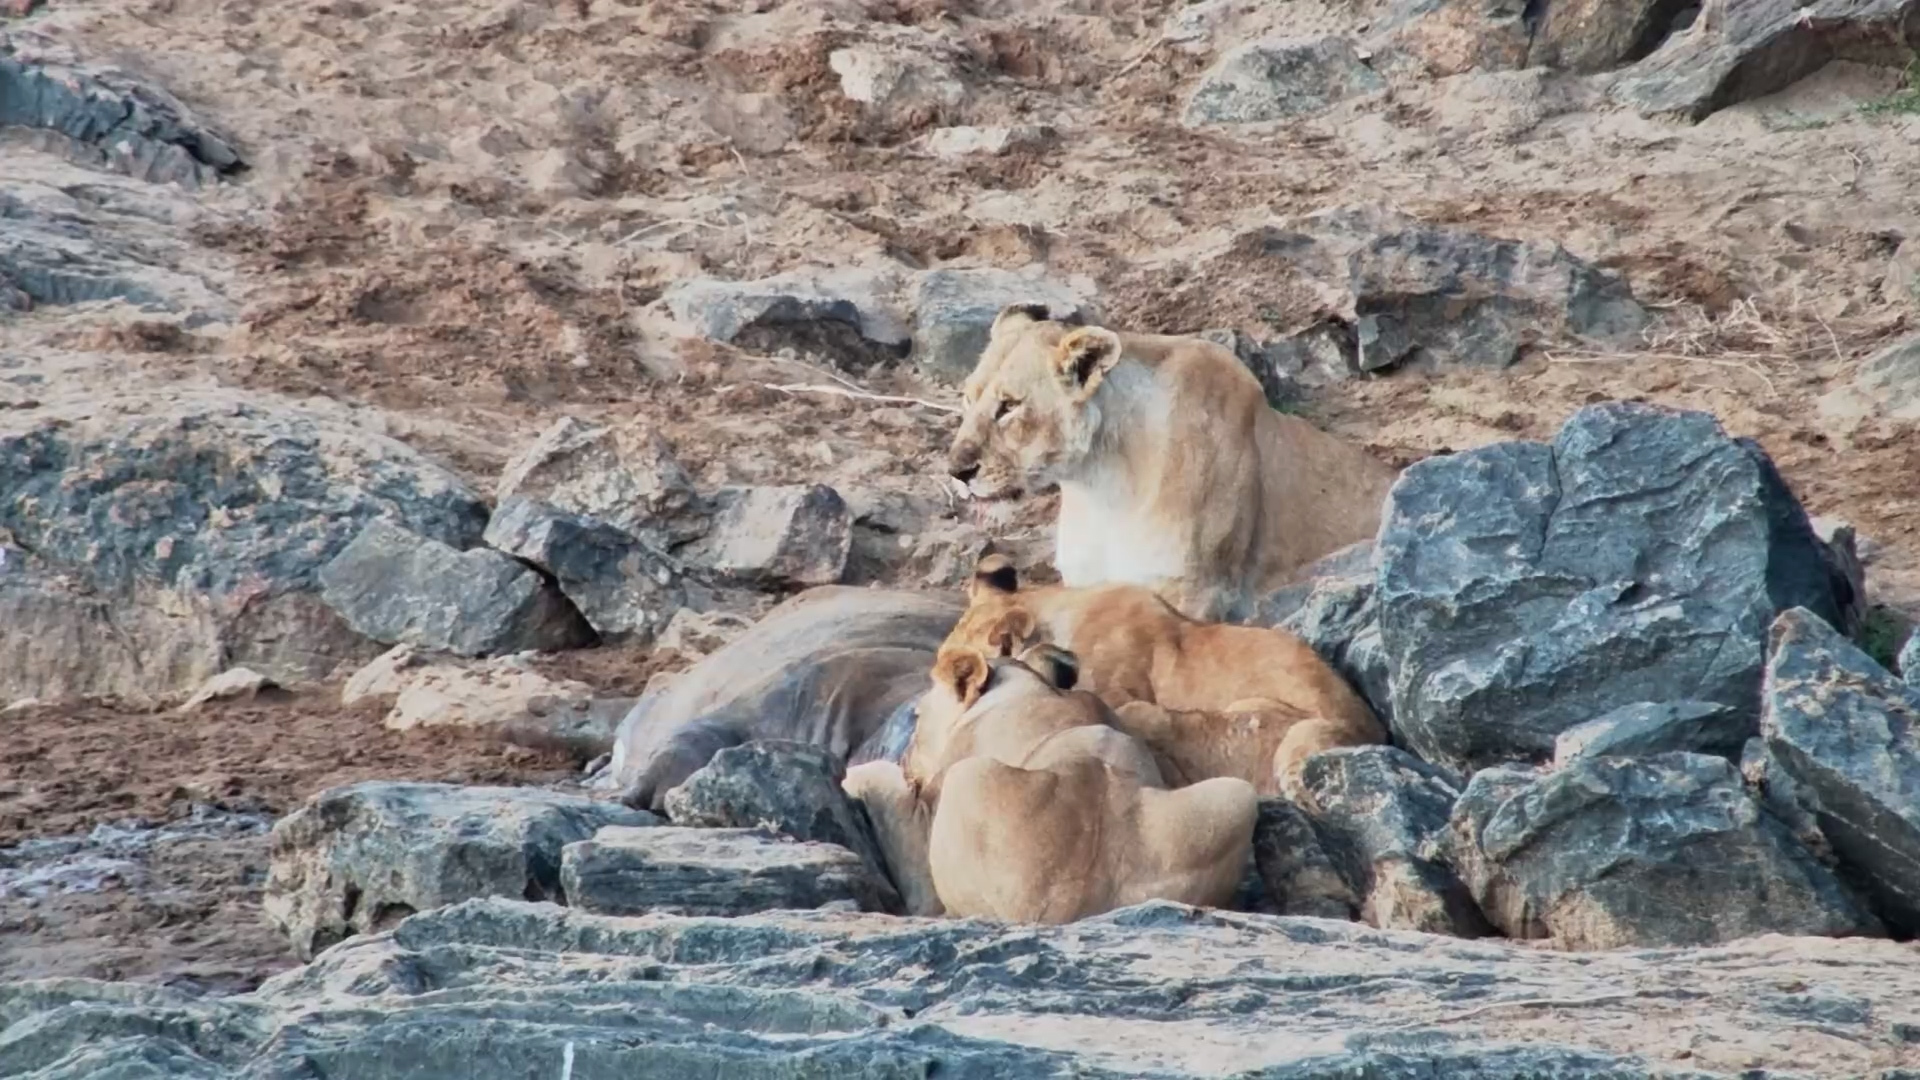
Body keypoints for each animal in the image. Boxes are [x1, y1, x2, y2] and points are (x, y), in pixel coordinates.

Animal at [844, 643, 1256, 924]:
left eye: (917, 716)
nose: (907, 758)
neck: (1030, 685)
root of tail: (1068, 904)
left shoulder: (925, 820)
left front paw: (855, 776)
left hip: (970, 777)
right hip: (1237, 796)